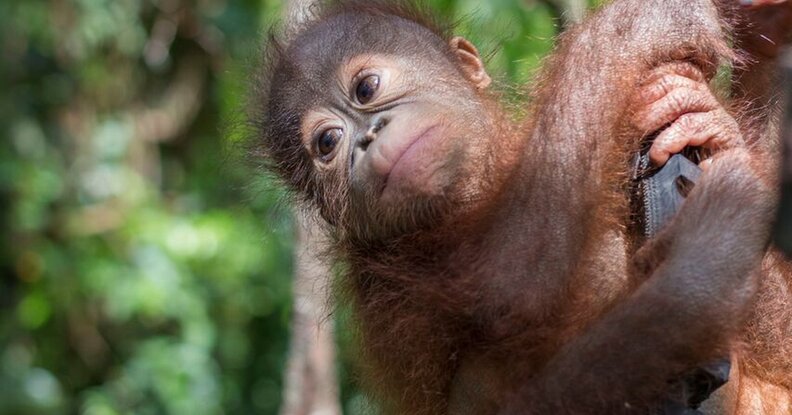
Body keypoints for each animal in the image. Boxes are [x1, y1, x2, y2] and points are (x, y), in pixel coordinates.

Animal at [251, 0, 789, 413]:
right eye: (327, 143)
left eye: (366, 88)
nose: (366, 137)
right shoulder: (386, 282)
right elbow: (509, 281)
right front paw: (638, 26)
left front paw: (710, 118)